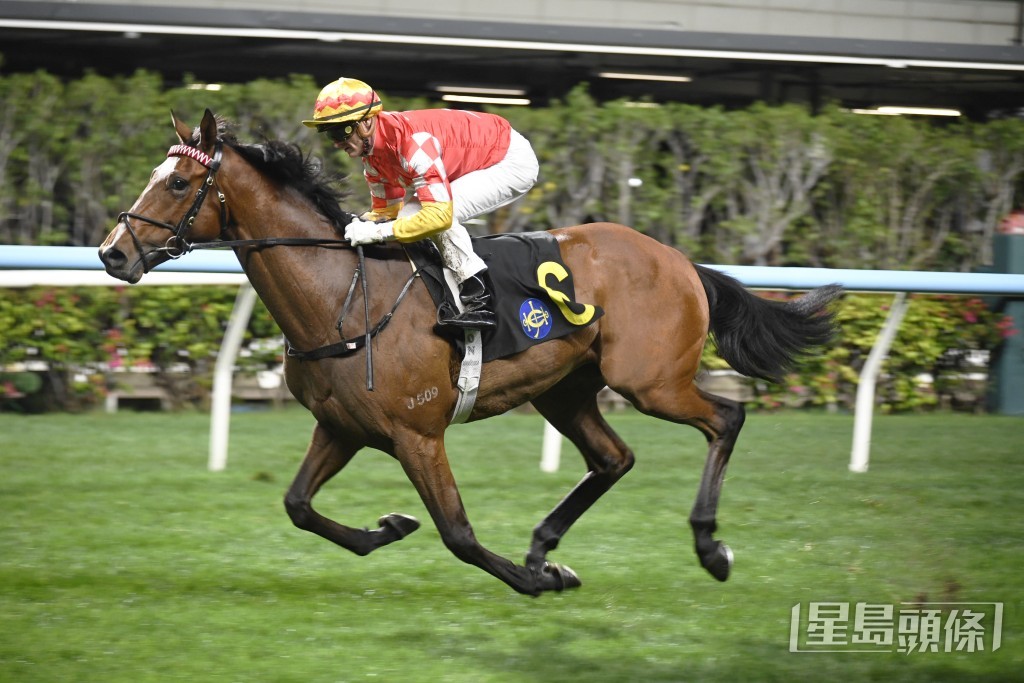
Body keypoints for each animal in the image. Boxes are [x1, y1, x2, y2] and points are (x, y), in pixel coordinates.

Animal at [99, 110, 842, 596]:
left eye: (175, 184)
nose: (112, 252)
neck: (344, 295)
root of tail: (680, 259)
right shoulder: (341, 426)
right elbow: (298, 505)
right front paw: (391, 526)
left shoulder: (418, 434)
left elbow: (456, 533)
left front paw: (539, 583)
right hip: (566, 388)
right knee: (614, 458)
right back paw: (544, 545)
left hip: (649, 380)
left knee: (725, 419)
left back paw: (708, 546)